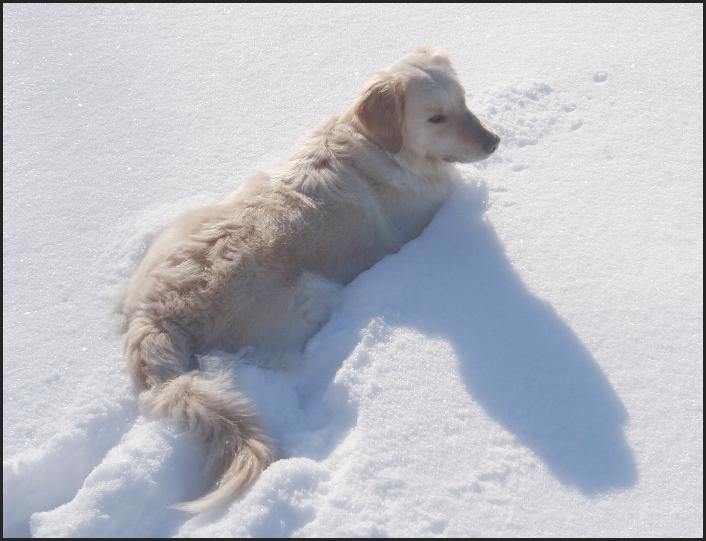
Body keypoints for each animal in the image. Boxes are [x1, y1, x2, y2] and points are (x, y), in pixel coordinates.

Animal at [121, 45, 498, 510]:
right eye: (436, 118)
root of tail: (159, 314)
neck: (380, 146)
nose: (494, 142)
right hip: (310, 297)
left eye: (463, 103)